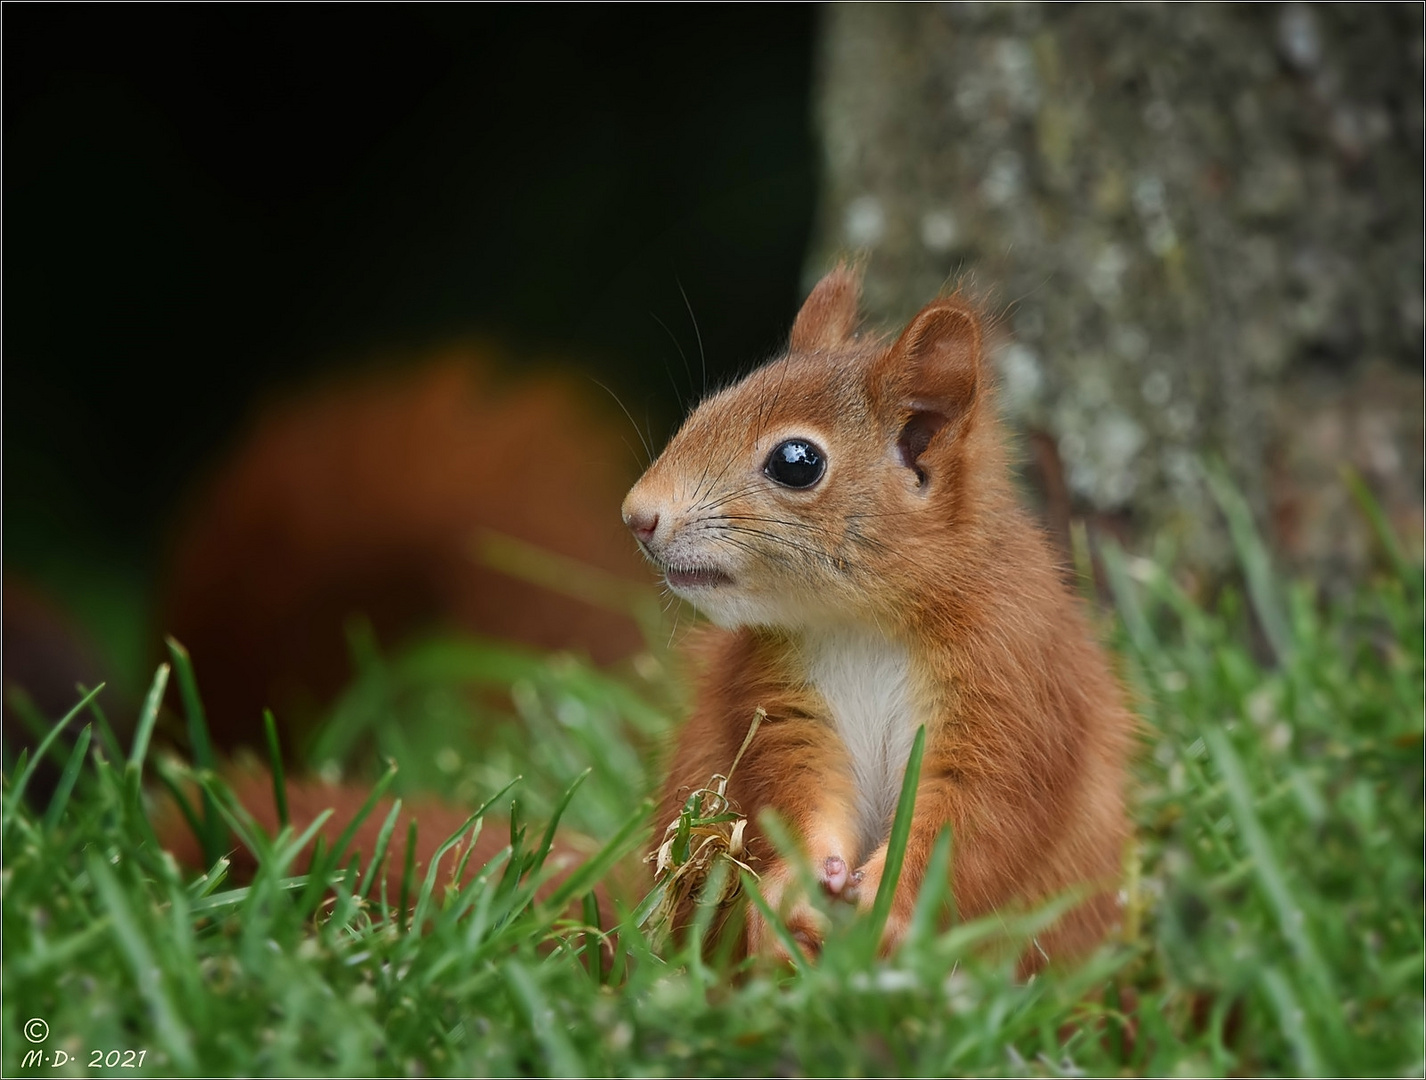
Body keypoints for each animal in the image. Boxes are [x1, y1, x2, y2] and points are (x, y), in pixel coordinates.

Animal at [627, 265, 1135, 964]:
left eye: (796, 462)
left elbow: (979, 817)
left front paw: (891, 914)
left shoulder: (1014, 685)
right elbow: (793, 786)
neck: (865, 622)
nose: (637, 515)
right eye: (704, 411)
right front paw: (790, 896)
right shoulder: (784, 695)